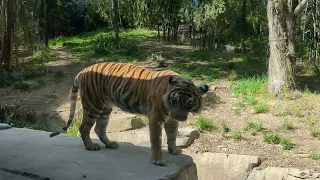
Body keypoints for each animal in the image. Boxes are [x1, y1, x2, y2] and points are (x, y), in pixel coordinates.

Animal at [49, 62, 210, 166]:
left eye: (188, 103)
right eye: (176, 100)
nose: (179, 117)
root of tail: (83, 71)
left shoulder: (171, 120)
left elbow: (172, 135)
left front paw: (174, 150)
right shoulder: (156, 118)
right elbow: (157, 140)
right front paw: (158, 160)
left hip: (105, 108)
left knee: (99, 128)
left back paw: (110, 144)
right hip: (93, 105)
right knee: (84, 128)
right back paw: (91, 146)